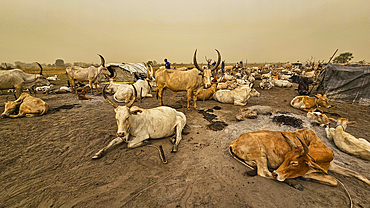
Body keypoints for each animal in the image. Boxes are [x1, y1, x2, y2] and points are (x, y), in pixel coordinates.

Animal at [228, 129, 370, 186]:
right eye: (285, 157)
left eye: (294, 162)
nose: (277, 172)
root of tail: (234, 142)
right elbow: (333, 180)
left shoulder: (332, 165)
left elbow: (356, 174)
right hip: (260, 153)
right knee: (265, 172)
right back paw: (292, 182)